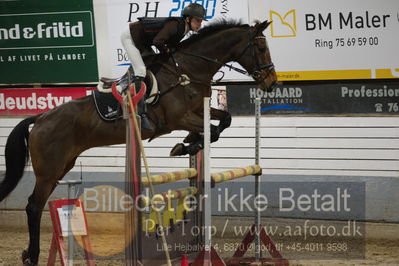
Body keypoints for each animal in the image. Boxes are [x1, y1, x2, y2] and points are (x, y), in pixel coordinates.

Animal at [0, 19, 276, 266]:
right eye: (261, 47)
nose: (271, 83)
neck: (188, 70)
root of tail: (41, 118)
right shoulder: (179, 118)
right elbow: (211, 129)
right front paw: (187, 144)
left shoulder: (200, 110)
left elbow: (224, 120)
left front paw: (189, 143)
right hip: (49, 171)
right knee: (34, 206)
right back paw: (31, 256)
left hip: (63, 165)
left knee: (37, 204)